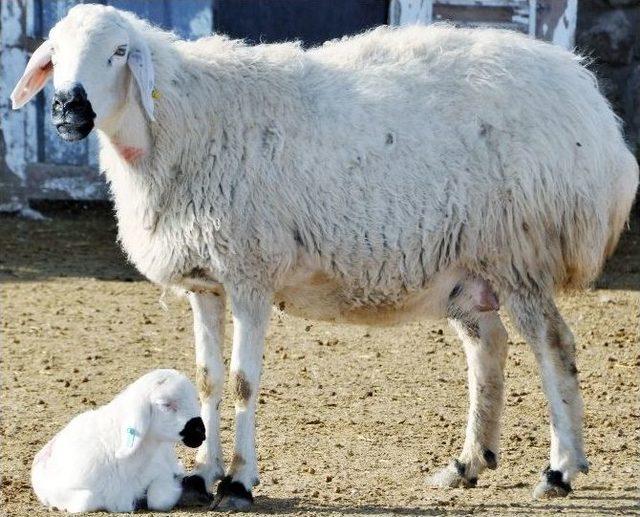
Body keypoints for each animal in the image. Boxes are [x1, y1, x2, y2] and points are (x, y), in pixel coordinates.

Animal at [30, 368, 210, 510]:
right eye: (165, 404)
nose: (201, 432)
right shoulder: (61, 490)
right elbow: (87, 500)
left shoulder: (161, 471)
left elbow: (159, 499)